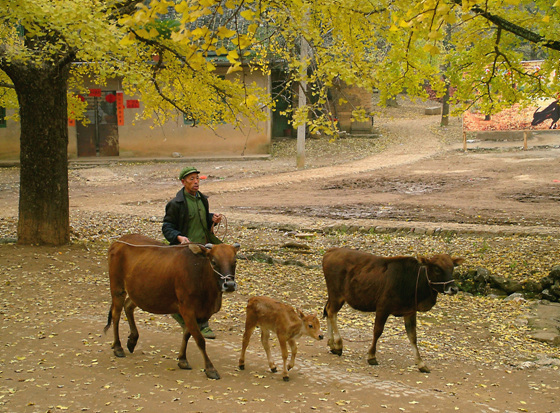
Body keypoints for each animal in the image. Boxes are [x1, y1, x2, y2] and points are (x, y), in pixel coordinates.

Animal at [104, 233, 240, 378]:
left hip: (138, 291)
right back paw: (118, 347)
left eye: (235, 261)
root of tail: (118, 241)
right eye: (214, 261)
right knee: (116, 314)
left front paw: (182, 360)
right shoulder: (187, 309)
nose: (229, 285)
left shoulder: (199, 313)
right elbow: (200, 340)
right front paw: (210, 369)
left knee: (128, 306)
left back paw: (132, 340)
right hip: (117, 287)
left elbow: (187, 334)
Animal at [322, 248, 466, 374]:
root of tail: (331, 251)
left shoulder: (410, 312)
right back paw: (338, 345)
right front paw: (371, 356)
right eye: (437, 268)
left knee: (329, 312)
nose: (454, 289)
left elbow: (413, 337)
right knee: (332, 313)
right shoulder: (383, 308)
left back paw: (331, 343)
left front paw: (421, 363)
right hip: (336, 295)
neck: (412, 280)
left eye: (452, 267)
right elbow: (377, 331)